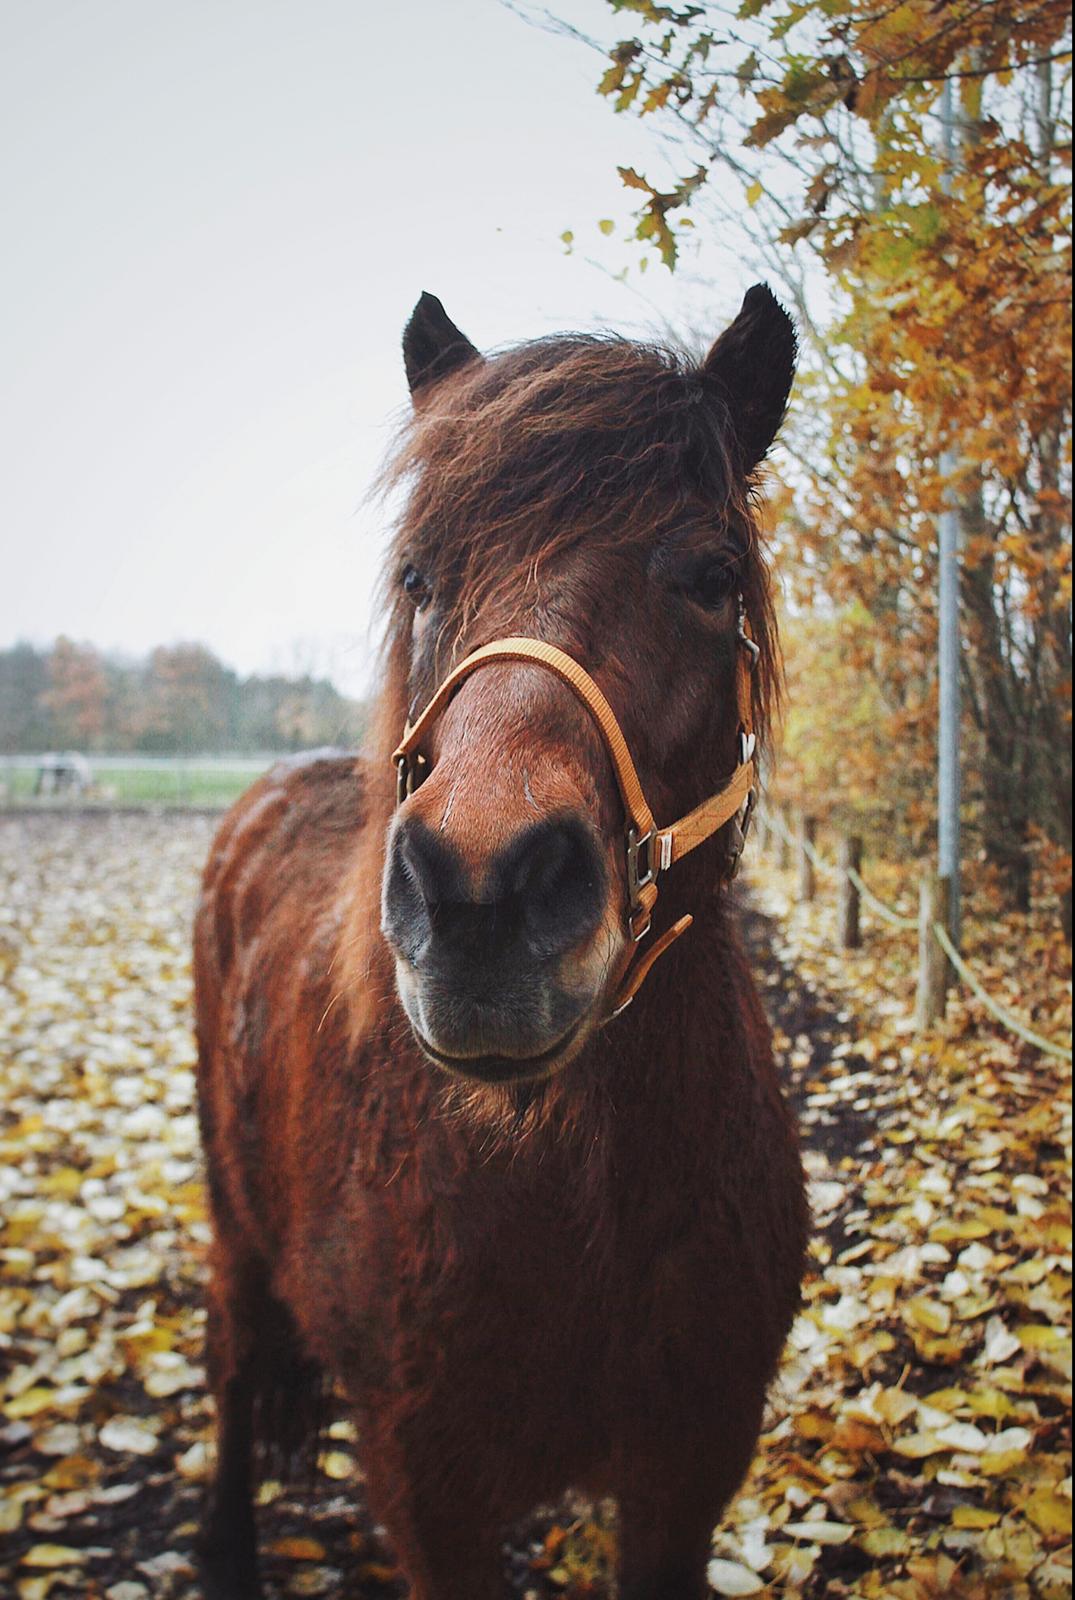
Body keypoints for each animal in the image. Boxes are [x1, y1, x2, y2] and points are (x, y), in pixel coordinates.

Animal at [197, 291, 809, 1600]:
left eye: (711, 576)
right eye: (420, 576)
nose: (479, 896)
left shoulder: (690, 1466)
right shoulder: (429, 1490)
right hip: (230, 1213)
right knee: (229, 1358)